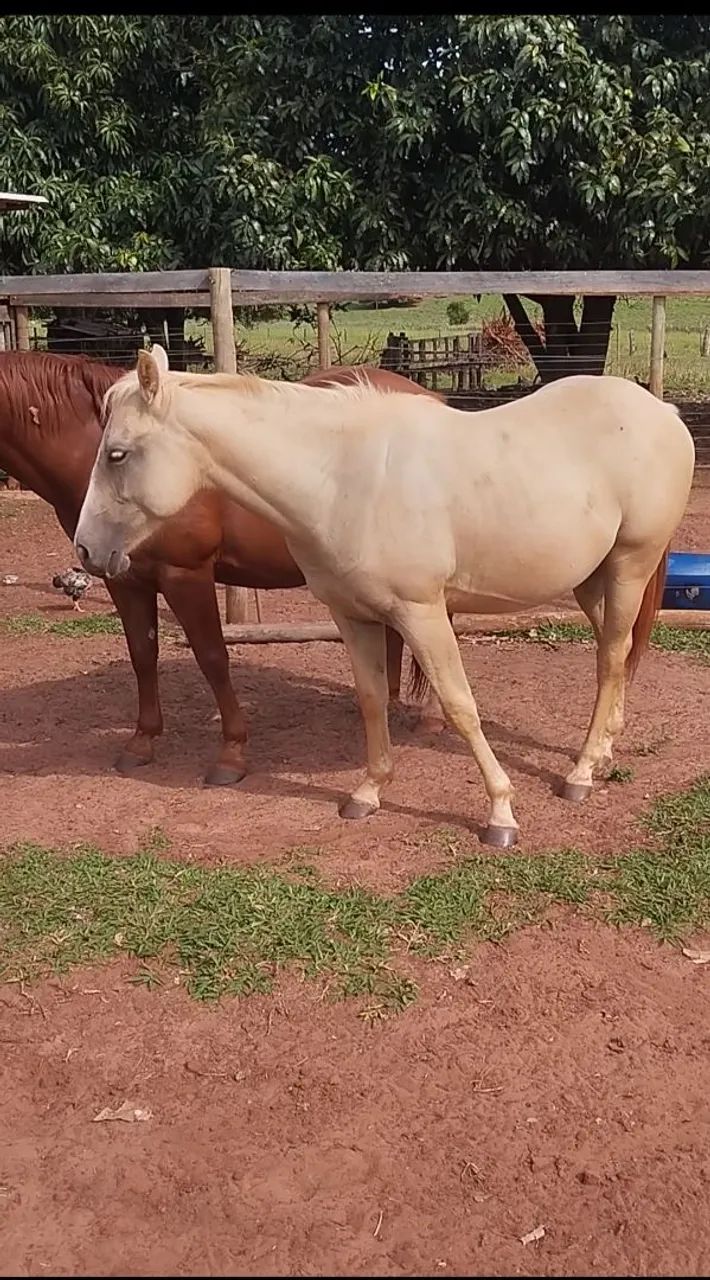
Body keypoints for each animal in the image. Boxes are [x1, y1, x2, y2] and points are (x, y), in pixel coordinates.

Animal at [0, 351, 442, 784]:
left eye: (118, 455)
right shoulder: (123, 579)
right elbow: (142, 654)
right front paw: (142, 742)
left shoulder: (185, 575)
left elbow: (212, 657)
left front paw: (232, 753)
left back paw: (430, 719)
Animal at [74, 346, 695, 846]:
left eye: (117, 454)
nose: (85, 551)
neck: (341, 478)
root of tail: (663, 413)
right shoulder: (353, 617)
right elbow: (372, 699)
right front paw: (368, 793)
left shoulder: (422, 614)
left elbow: (459, 704)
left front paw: (500, 813)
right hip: (593, 581)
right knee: (614, 656)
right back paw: (603, 751)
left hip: (630, 567)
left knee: (611, 659)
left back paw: (581, 773)